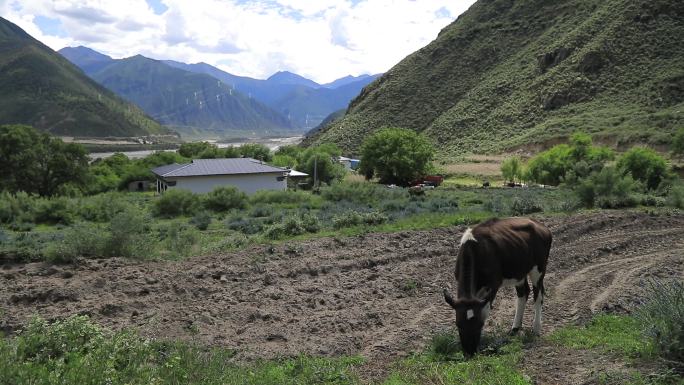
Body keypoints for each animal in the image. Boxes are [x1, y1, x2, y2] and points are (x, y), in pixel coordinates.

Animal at [444, 216, 552, 354]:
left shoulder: (493, 284)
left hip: (539, 268)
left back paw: (536, 328)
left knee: (538, 295)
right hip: (519, 271)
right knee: (523, 293)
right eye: (458, 324)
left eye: (479, 324)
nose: (470, 352)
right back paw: (515, 328)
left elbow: (485, 310)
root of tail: (541, 226)